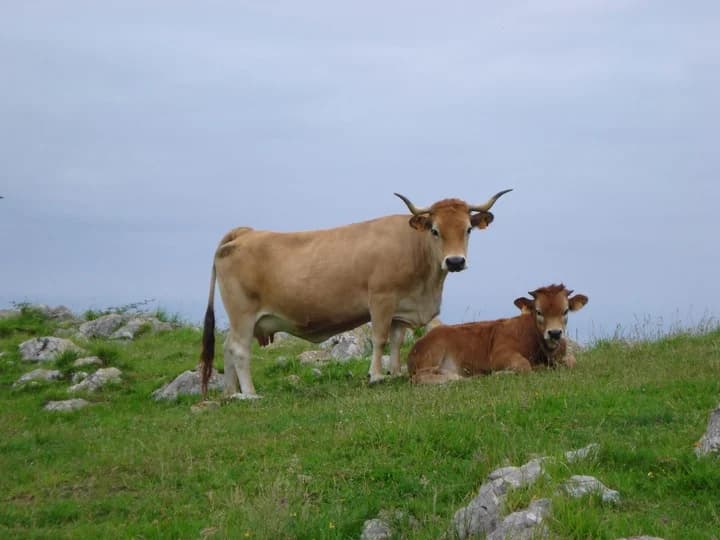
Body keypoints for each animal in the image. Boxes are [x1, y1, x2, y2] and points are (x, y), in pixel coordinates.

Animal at [199, 189, 512, 398]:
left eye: (468, 229)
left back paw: (231, 393)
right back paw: (250, 394)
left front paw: (395, 372)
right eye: (435, 230)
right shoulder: (381, 299)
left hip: (242, 319)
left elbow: (396, 341)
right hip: (243, 313)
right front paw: (376, 375)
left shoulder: (401, 308)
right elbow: (380, 339)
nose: (455, 261)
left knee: (227, 347)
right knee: (239, 349)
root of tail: (246, 232)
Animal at [407, 284, 588, 383]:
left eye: (565, 311)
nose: (555, 333)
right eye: (539, 312)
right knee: (419, 378)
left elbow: (572, 361)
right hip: (433, 354)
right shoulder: (500, 354)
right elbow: (524, 366)